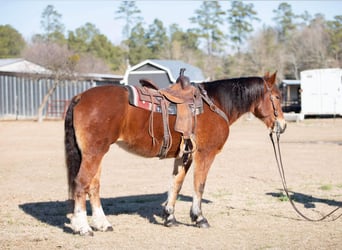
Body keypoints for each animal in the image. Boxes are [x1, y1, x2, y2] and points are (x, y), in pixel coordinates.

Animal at [64, 71, 286, 235]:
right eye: (277, 97)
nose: (282, 126)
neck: (215, 103)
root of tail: (80, 97)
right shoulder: (205, 154)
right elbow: (199, 185)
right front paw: (199, 217)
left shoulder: (184, 155)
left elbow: (176, 185)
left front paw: (169, 217)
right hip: (94, 153)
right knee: (81, 184)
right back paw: (83, 227)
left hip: (97, 153)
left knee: (93, 186)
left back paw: (102, 223)